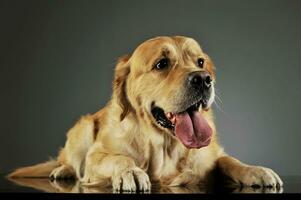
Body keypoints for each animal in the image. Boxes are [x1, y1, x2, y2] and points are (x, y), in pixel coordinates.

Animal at [8, 36, 282, 192]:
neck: (165, 146)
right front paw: (131, 172)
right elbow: (118, 158)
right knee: (69, 161)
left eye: (200, 62)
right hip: (83, 127)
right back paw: (62, 171)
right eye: (162, 64)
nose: (204, 79)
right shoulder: (97, 156)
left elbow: (229, 160)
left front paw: (256, 171)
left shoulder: (211, 155)